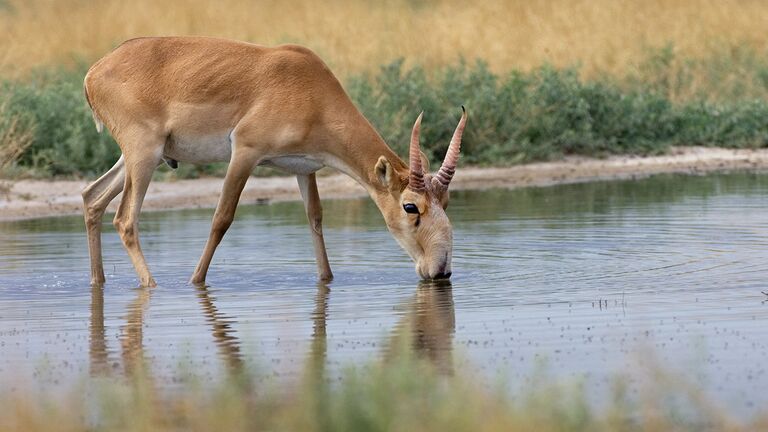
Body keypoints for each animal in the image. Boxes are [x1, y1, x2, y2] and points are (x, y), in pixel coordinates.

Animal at [84, 36, 468, 286]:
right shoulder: (245, 153)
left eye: (447, 200)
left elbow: (315, 218)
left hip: (142, 158)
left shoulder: (305, 168)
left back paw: (98, 281)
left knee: (92, 197)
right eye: (410, 206)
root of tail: (94, 72)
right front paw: (196, 281)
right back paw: (151, 285)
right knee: (124, 219)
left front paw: (326, 278)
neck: (312, 91)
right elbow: (222, 218)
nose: (441, 270)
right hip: (144, 155)